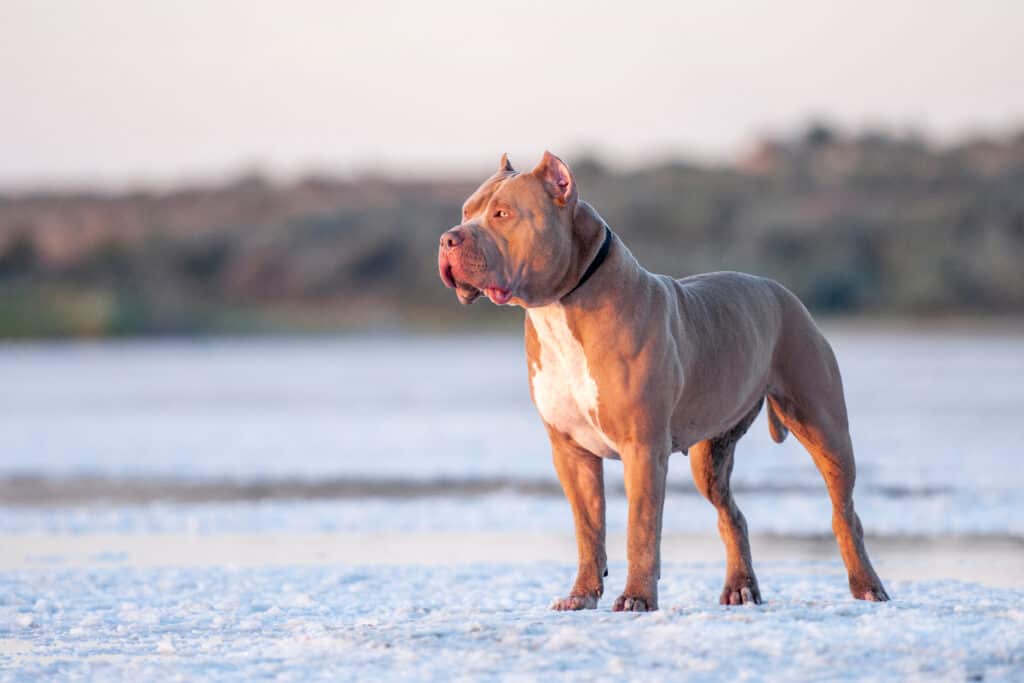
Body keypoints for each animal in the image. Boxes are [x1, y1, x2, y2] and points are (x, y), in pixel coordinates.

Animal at [438, 152, 888, 610]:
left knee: (845, 513)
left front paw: (636, 598)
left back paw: (867, 586)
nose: (448, 240)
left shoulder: (643, 448)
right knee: (733, 515)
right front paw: (581, 596)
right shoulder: (571, 452)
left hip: (824, 429)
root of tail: (782, 292)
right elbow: (588, 529)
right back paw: (741, 586)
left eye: (503, 214)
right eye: (467, 212)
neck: (560, 307)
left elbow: (641, 528)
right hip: (711, 458)